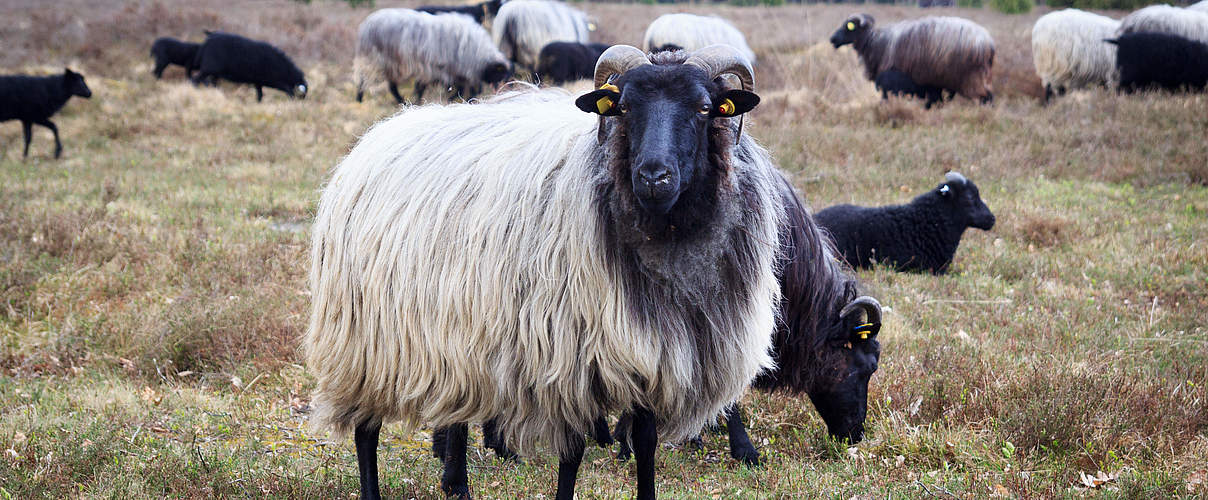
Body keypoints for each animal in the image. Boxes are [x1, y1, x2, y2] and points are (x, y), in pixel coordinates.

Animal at [309, 44, 782, 500]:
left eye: (704, 107)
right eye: (624, 107)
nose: (653, 176)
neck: (666, 234)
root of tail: (373, 139)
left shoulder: (654, 353)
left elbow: (646, 445)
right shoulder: (567, 358)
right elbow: (571, 455)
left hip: (452, 331)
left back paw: (457, 484)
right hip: (366, 341)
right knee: (366, 430)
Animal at [352, 8, 514, 103]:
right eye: (500, 75)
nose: (501, 92)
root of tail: (367, 23)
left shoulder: (454, 70)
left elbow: (459, 87)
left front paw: (454, 98)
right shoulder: (433, 69)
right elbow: (423, 87)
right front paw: (419, 102)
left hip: (390, 64)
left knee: (391, 85)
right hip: (376, 60)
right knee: (364, 79)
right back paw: (360, 98)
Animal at [835, 14, 995, 103]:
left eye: (848, 27)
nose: (832, 39)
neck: (875, 42)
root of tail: (988, 42)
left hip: (971, 78)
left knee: (986, 97)